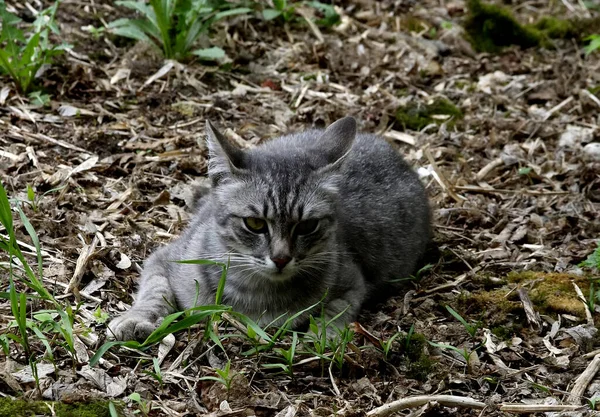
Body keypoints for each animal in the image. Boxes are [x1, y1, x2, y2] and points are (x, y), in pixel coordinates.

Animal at [108, 115, 432, 340]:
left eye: (307, 226)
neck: (254, 292)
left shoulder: (354, 282)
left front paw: (321, 336)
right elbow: (155, 291)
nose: (281, 258)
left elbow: (335, 312)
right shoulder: (164, 257)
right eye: (255, 224)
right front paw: (136, 319)